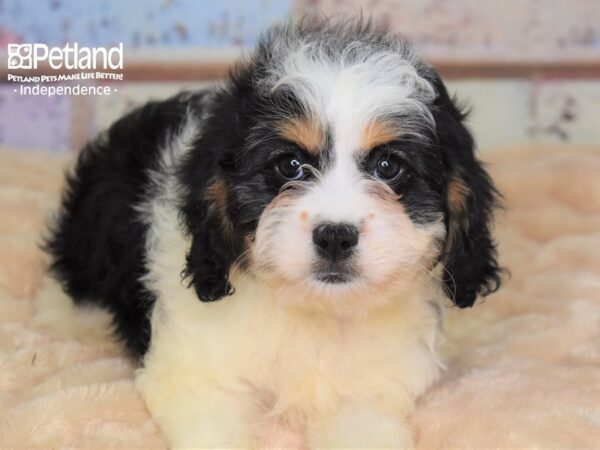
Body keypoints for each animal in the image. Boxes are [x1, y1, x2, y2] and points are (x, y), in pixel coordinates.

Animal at [44, 18, 500, 450]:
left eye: (388, 167)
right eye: (289, 166)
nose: (335, 236)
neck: (315, 310)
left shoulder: (365, 392)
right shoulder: (197, 379)